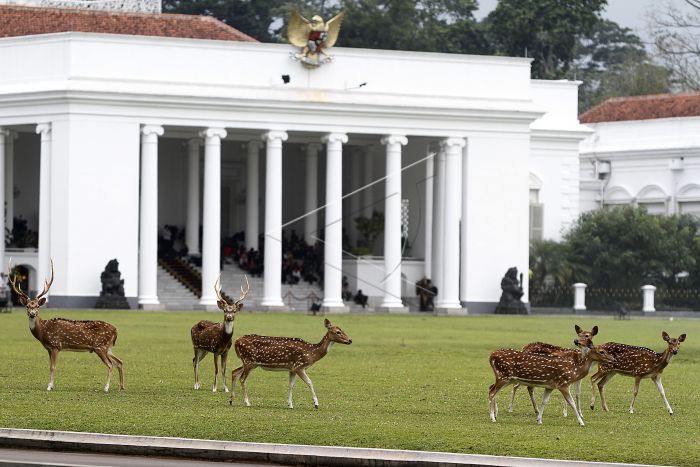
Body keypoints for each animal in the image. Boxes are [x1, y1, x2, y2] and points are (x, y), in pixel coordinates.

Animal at [10, 262, 124, 394]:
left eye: (37, 306)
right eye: (28, 306)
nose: (32, 314)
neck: (43, 332)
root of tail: (116, 330)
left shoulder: (55, 345)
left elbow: (53, 366)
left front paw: (49, 386)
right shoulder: (49, 348)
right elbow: (50, 366)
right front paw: (51, 385)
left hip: (100, 346)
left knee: (110, 364)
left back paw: (106, 387)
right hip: (108, 347)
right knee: (119, 361)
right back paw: (121, 387)